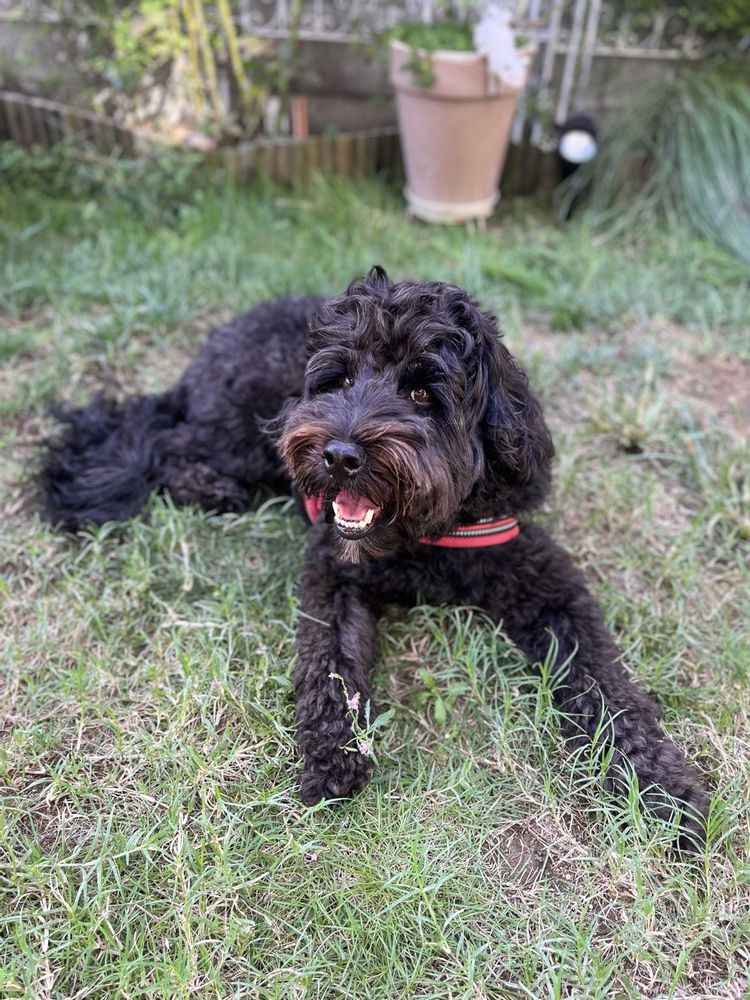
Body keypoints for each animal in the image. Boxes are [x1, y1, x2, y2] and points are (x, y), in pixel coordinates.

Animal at [40, 267, 709, 850]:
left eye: (421, 391)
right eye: (337, 381)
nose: (339, 456)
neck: (421, 538)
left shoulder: (546, 583)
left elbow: (606, 687)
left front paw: (659, 789)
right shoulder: (336, 574)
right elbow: (330, 665)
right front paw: (334, 754)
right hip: (244, 431)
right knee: (169, 443)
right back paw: (211, 487)